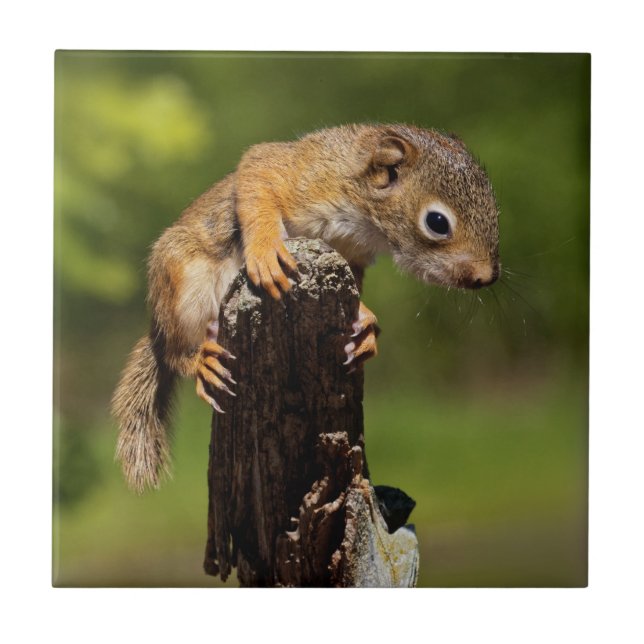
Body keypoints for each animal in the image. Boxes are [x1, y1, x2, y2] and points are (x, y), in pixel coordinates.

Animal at [111, 123, 500, 493]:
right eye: (437, 222)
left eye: (495, 209)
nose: (486, 277)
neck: (365, 215)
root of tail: (157, 327)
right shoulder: (302, 173)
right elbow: (258, 176)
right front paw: (266, 250)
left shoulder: (352, 254)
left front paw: (365, 324)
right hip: (182, 285)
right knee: (174, 351)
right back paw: (199, 359)